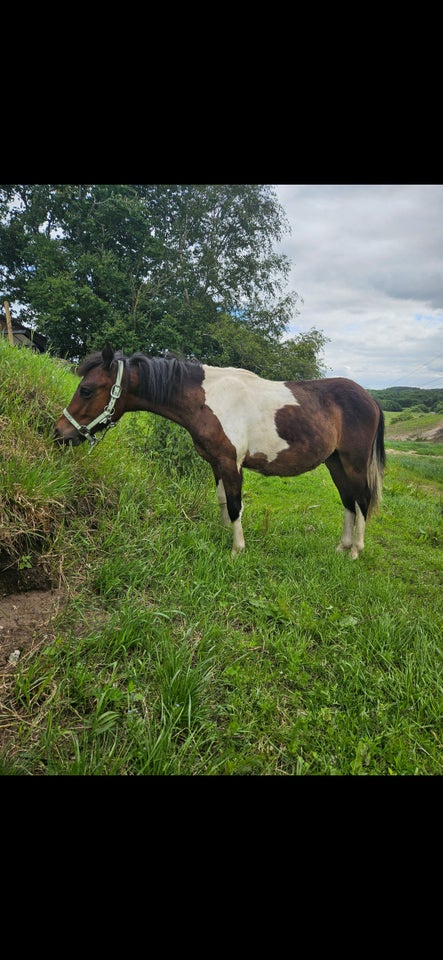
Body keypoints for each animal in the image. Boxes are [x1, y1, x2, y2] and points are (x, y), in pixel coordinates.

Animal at [54, 344, 386, 556]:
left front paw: (237, 550)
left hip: (354, 463)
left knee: (362, 500)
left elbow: (236, 504)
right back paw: (341, 547)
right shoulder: (215, 463)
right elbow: (223, 501)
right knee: (348, 501)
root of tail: (370, 399)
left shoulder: (231, 463)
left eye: (86, 390)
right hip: (335, 463)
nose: (60, 433)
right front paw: (225, 534)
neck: (208, 398)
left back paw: (355, 551)